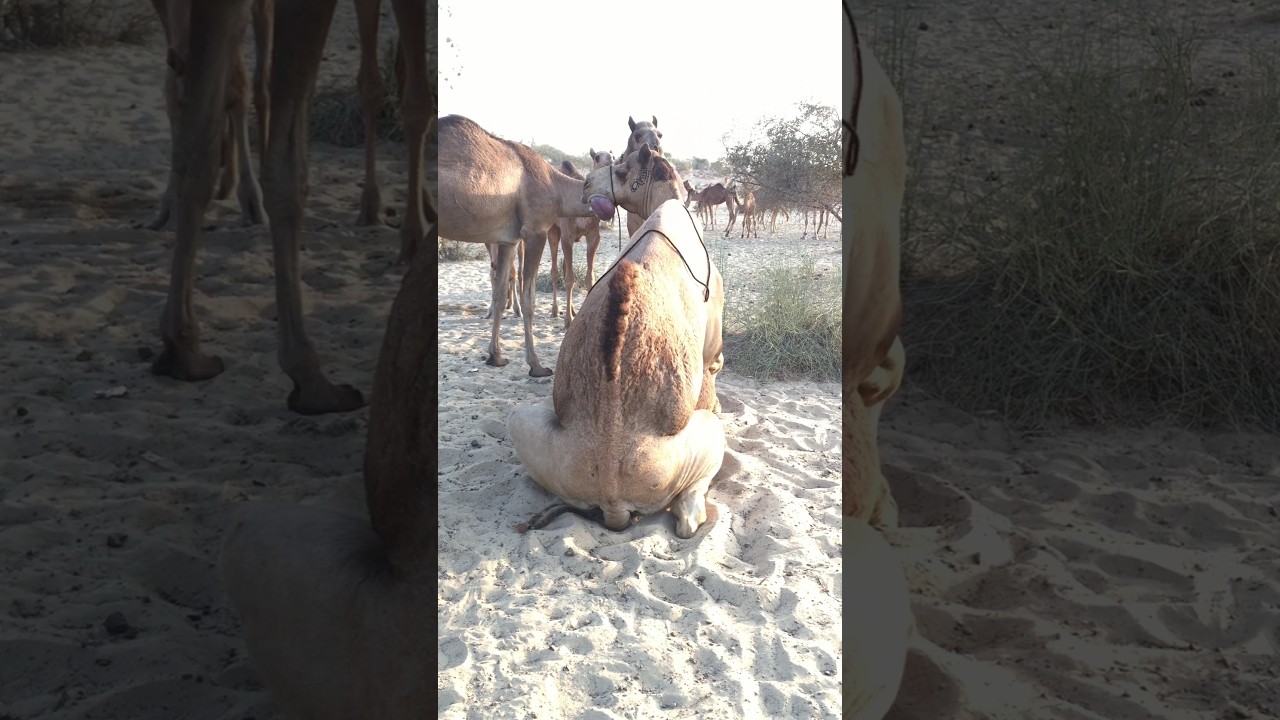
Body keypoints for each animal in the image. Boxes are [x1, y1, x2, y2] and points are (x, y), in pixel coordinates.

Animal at [437, 115, 596, 377]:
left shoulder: (507, 240)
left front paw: (496, 356)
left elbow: (500, 293)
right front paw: (536, 365)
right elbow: (528, 298)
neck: (555, 184)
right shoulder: (535, 231)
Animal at [547, 150, 613, 328]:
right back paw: (555, 310)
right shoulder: (567, 236)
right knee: (555, 271)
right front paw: (568, 321)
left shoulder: (593, 237)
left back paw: (573, 310)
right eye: (597, 157)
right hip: (553, 230)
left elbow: (590, 279)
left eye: (613, 155)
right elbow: (569, 279)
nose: (610, 161)